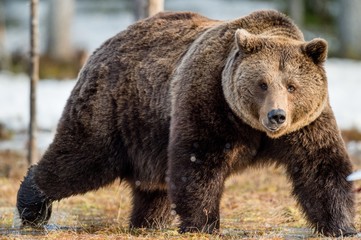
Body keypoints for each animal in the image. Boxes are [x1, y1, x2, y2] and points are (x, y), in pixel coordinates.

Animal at [16, 10, 354, 237]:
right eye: (262, 83)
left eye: (292, 86)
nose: (277, 116)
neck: (252, 127)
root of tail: (104, 45)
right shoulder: (208, 99)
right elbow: (198, 162)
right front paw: (204, 224)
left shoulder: (307, 124)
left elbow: (320, 167)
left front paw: (342, 225)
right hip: (114, 109)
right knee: (80, 159)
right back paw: (32, 204)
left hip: (148, 134)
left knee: (153, 185)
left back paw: (149, 222)